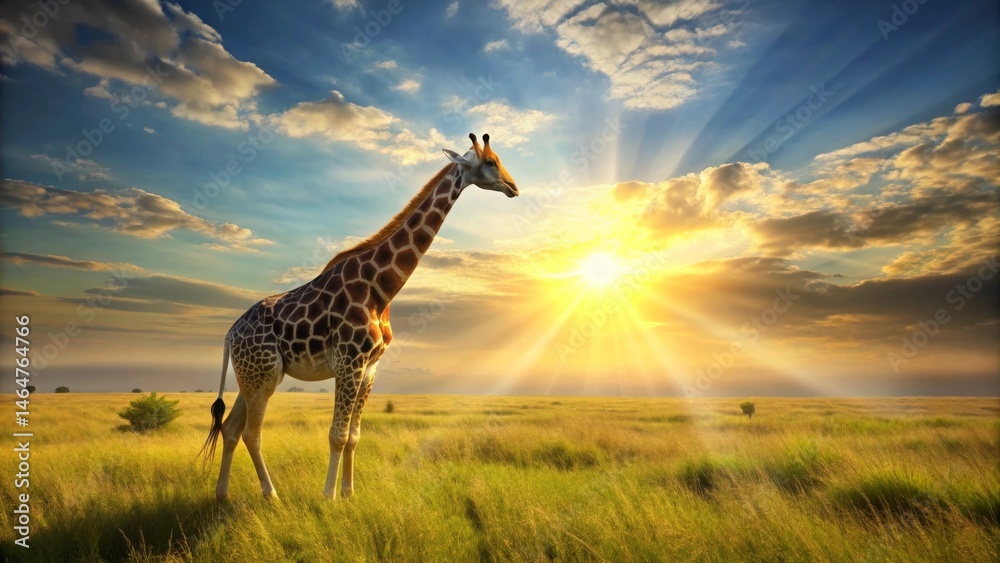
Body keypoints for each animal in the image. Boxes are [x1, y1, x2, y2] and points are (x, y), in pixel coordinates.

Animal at [201, 133, 518, 501]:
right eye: (491, 162)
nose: (513, 187)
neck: (382, 289)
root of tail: (230, 334)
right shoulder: (348, 361)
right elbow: (336, 435)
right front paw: (328, 497)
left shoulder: (370, 367)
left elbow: (354, 437)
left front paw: (350, 493)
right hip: (262, 375)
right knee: (252, 432)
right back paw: (272, 495)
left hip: (253, 375)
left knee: (230, 428)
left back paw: (222, 495)